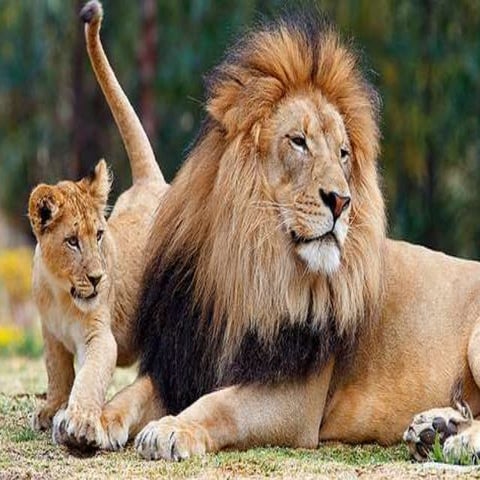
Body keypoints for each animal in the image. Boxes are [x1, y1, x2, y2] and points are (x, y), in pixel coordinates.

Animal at [28, 0, 168, 448]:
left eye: (99, 236)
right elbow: (57, 372)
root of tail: (149, 182)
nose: (96, 278)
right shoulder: (50, 334)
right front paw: (52, 409)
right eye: (72, 240)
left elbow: (88, 377)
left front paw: (81, 421)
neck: (60, 291)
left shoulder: (99, 336)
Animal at [82, 8, 480, 462]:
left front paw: (172, 429)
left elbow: (220, 404)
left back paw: (460, 439)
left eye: (343, 153)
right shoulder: (187, 359)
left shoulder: (294, 397)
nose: (341, 201)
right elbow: (132, 393)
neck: (249, 272)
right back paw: (435, 428)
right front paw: (90, 419)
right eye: (299, 142)